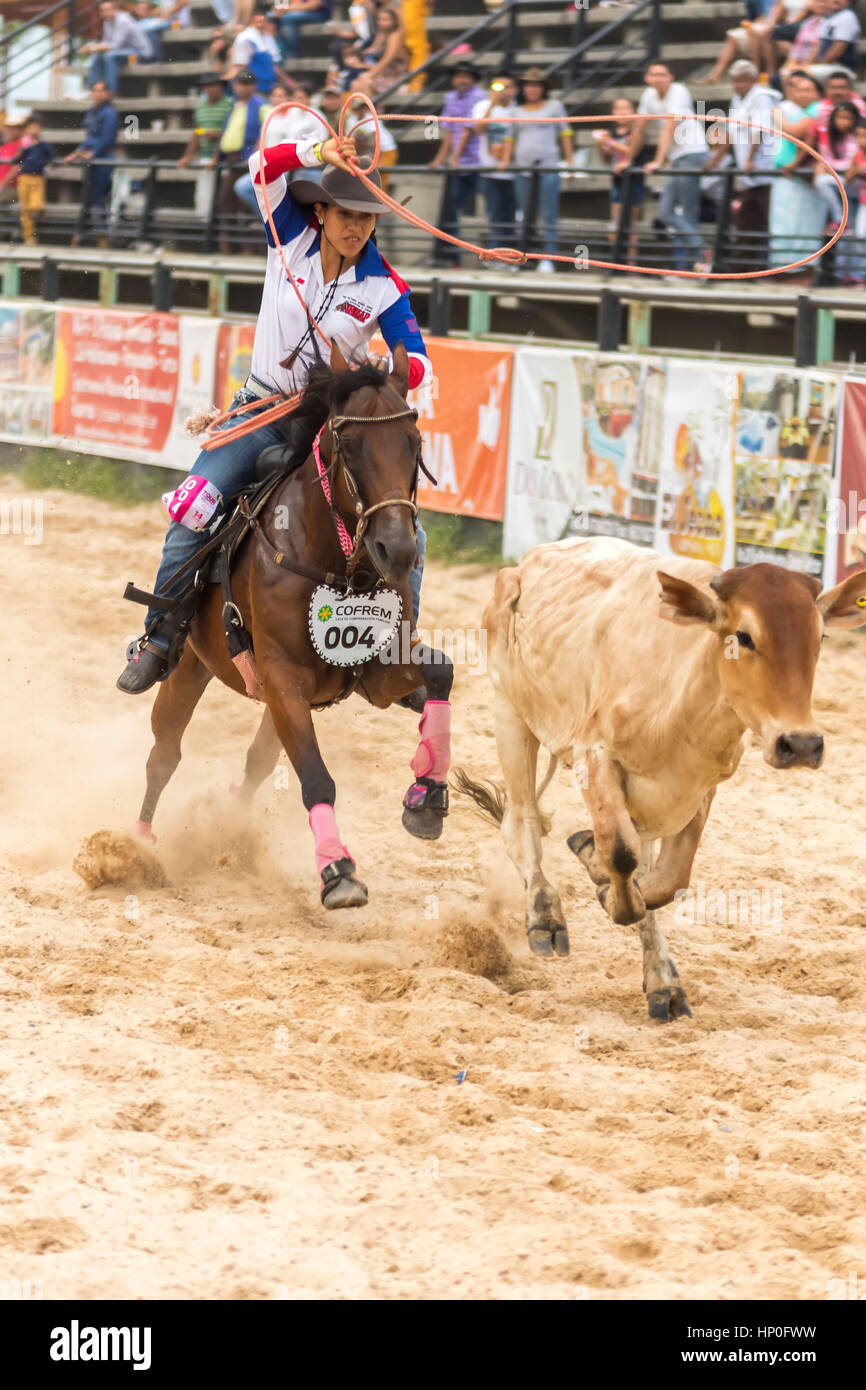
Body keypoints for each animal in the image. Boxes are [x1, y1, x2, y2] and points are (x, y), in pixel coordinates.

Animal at [134, 346, 453, 906]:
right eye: (349, 446)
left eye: (414, 444)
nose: (397, 549)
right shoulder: (282, 679)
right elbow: (317, 778)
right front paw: (338, 871)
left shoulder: (380, 673)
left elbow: (442, 672)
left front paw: (428, 795)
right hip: (189, 664)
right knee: (164, 754)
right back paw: (135, 844)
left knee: (255, 763)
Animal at [461, 539, 866, 1023]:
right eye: (744, 636)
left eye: (819, 636)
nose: (801, 743)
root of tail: (527, 561)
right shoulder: (594, 754)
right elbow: (620, 853)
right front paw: (598, 874)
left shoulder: (698, 788)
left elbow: (664, 881)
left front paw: (602, 874)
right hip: (511, 715)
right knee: (521, 821)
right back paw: (545, 916)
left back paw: (662, 981)